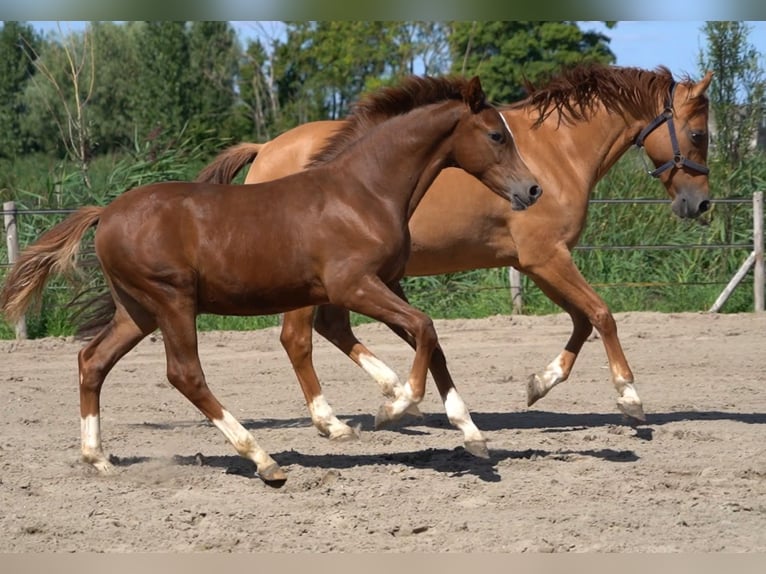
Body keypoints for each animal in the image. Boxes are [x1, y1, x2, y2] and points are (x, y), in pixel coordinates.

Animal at [0, 75, 541, 487]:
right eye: (496, 135)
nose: (533, 189)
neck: (363, 192)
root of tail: (105, 212)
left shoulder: (384, 284)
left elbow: (431, 341)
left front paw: (470, 434)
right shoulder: (353, 286)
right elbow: (424, 329)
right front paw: (393, 408)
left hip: (137, 310)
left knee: (92, 362)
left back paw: (99, 458)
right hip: (172, 301)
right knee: (185, 374)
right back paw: (263, 460)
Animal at [195, 64, 713, 441]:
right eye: (699, 134)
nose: (701, 203)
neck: (557, 151)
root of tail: (265, 148)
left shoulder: (536, 264)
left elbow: (582, 321)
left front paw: (539, 384)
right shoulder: (546, 257)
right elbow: (602, 314)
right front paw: (629, 398)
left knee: (334, 328)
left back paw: (391, 391)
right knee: (298, 339)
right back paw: (337, 420)